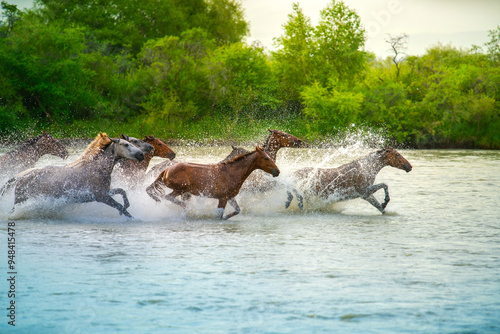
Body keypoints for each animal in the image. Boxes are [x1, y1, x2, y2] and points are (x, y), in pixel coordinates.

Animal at [0, 132, 146, 218]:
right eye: (126, 144)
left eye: (132, 143)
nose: (141, 154)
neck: (96, 169)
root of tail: (20, 176)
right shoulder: (101, 196)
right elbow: (121, 207)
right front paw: (131, 217)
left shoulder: (105, 192)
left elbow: (122, 192)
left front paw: (126, 207)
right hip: (20, 200)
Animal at [146, 146, 282, 219]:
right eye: (266, 158)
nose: (277, 171)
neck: (231, 172)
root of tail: (166, 170)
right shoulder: (222, 198)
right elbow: (219, 215)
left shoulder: (230, 197)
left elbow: (237, 210)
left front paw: (227, 218)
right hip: (181, 190)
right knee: (168, 197)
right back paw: (188, 209)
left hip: (185, 192)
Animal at [284, 147, 412, 213]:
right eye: (397, 155)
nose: (410, 166)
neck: (366, 168)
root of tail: (293, 173)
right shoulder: (364, 191)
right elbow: (384, 185)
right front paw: (385, 201)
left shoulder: (366, 195)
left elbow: (380, 207)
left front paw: (384, 205)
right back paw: (295, 203)